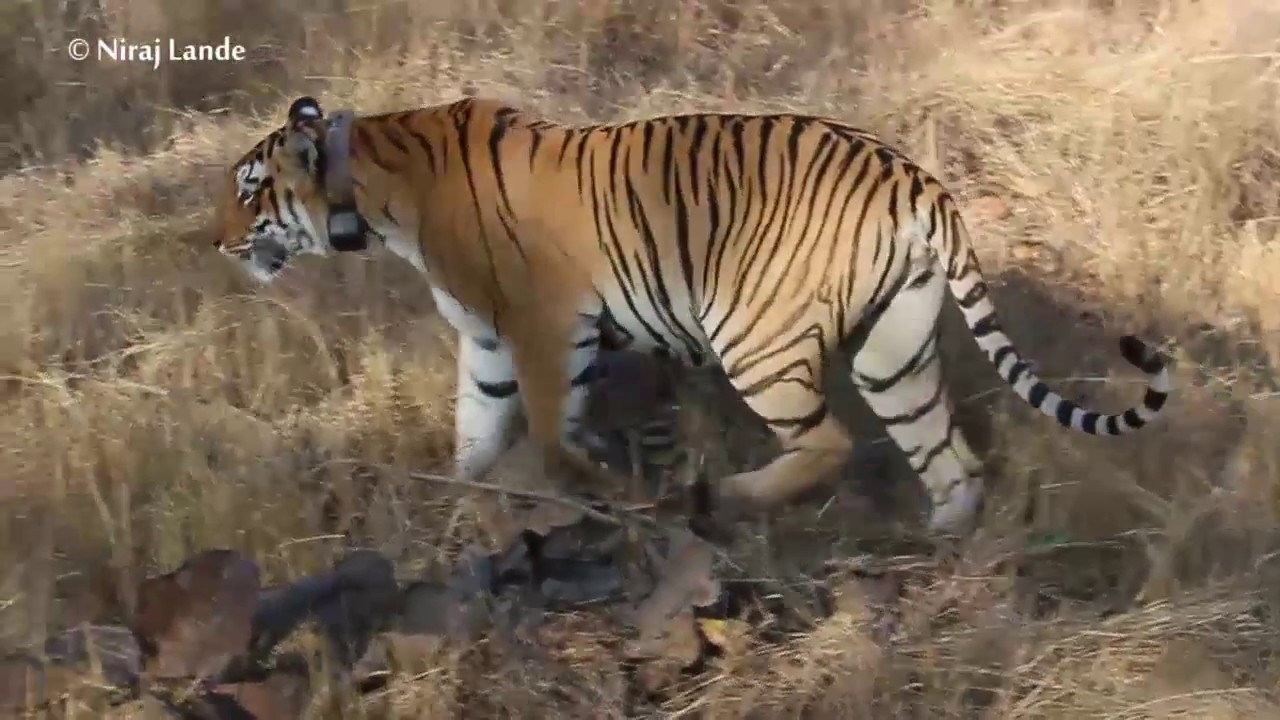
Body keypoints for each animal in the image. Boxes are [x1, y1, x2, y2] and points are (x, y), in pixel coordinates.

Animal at [215, 94, 1171, 536]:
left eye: (250, 190)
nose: (216, 241)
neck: (373, 188)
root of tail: (918, 181)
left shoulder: (541, 328)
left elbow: (551, 434)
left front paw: (603, 489)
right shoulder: (485, 342)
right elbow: (474, 437)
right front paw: (467, 508)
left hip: (754, 335)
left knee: (828, 443)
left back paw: (723, 496)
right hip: (892, 350)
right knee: (950, 457)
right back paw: (943, 546)